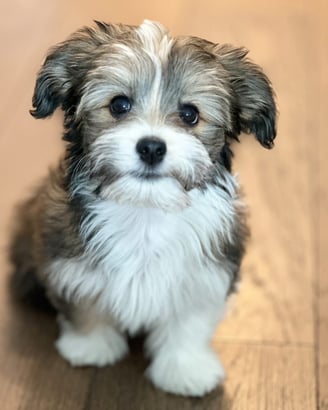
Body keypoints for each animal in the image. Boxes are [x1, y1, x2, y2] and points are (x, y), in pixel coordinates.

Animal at [10, 20, 276, 398]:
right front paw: (91, 346)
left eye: (190, 114)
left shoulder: (205, 274)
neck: (146, 208)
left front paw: (185, 369)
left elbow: (188, 324)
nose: (151, 147)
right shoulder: (68, 261)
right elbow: (85, 306)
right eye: (119, 105)